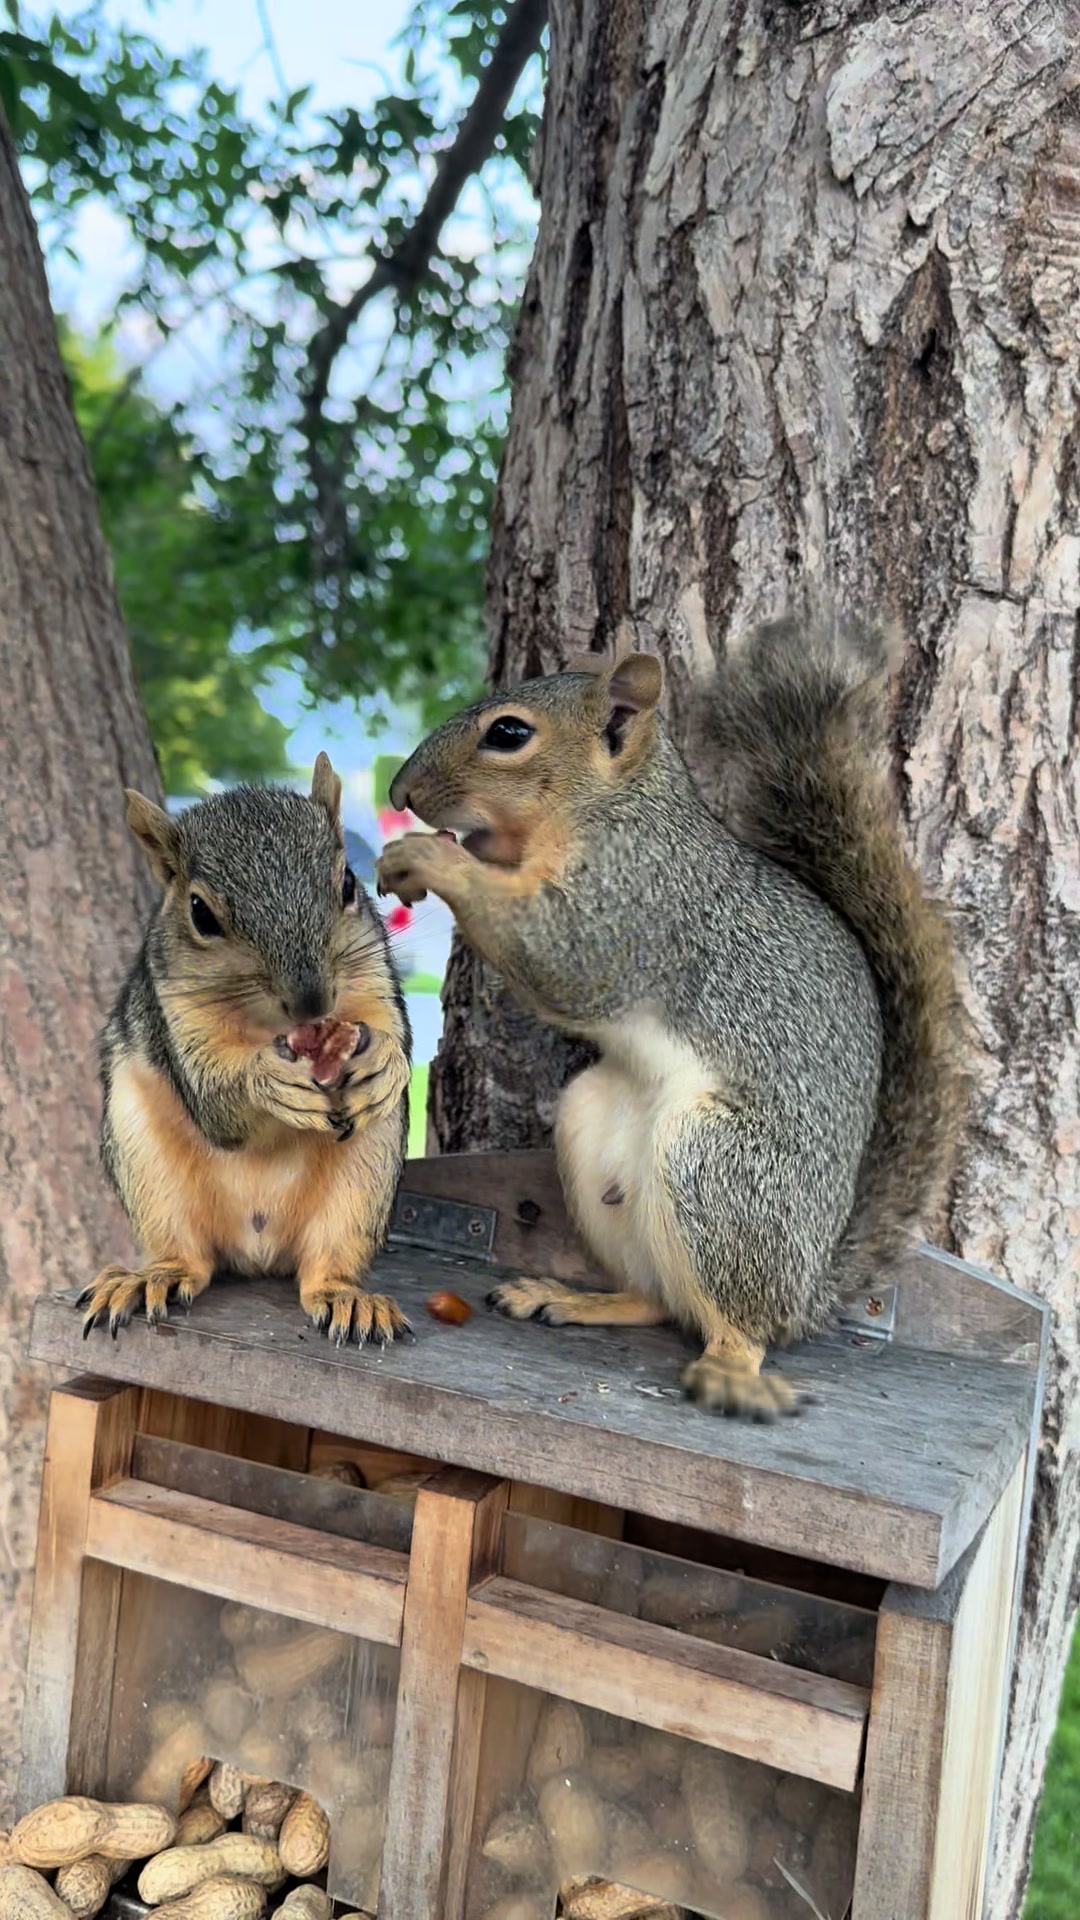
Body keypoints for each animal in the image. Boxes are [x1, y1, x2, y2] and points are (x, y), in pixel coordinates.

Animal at [82, 754, 412, 1346]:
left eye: (348, 882)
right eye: (200, 913)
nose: (311, 1002)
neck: (268, 1030)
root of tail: (258, 1250)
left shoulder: (372, 973)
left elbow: (389, 1032)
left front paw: (384, 1062)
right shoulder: (172, 1011)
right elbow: (216, 1104)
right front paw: (267, 1081)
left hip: (365, 1178)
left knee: (327, 1263)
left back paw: (347, 1296)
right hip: (145, 1164)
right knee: (188, 1256)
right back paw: (151, 1278)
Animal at [376, 617, 969, 1417]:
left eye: (508, 733)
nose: (399, 793)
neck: (616, 807)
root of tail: (811, 1291)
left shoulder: (640, 898)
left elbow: (567, 959)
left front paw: (435, 861)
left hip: (715, 1164)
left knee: (742, 1326)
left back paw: (728, 1367)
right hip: (592, 1126)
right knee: (660, 1300)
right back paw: (577, 1300)